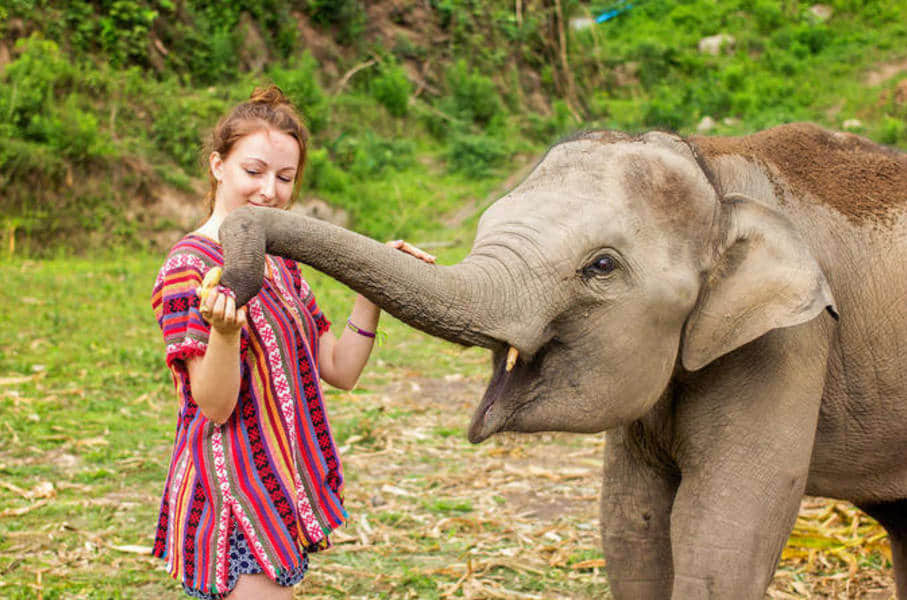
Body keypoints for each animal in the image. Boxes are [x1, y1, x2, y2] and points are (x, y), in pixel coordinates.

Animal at [218, 122, 907, 599]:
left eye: (601, 265)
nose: (234, 277)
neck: (715, 167)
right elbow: (632, 526)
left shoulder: (791, 341)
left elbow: (723, 529)